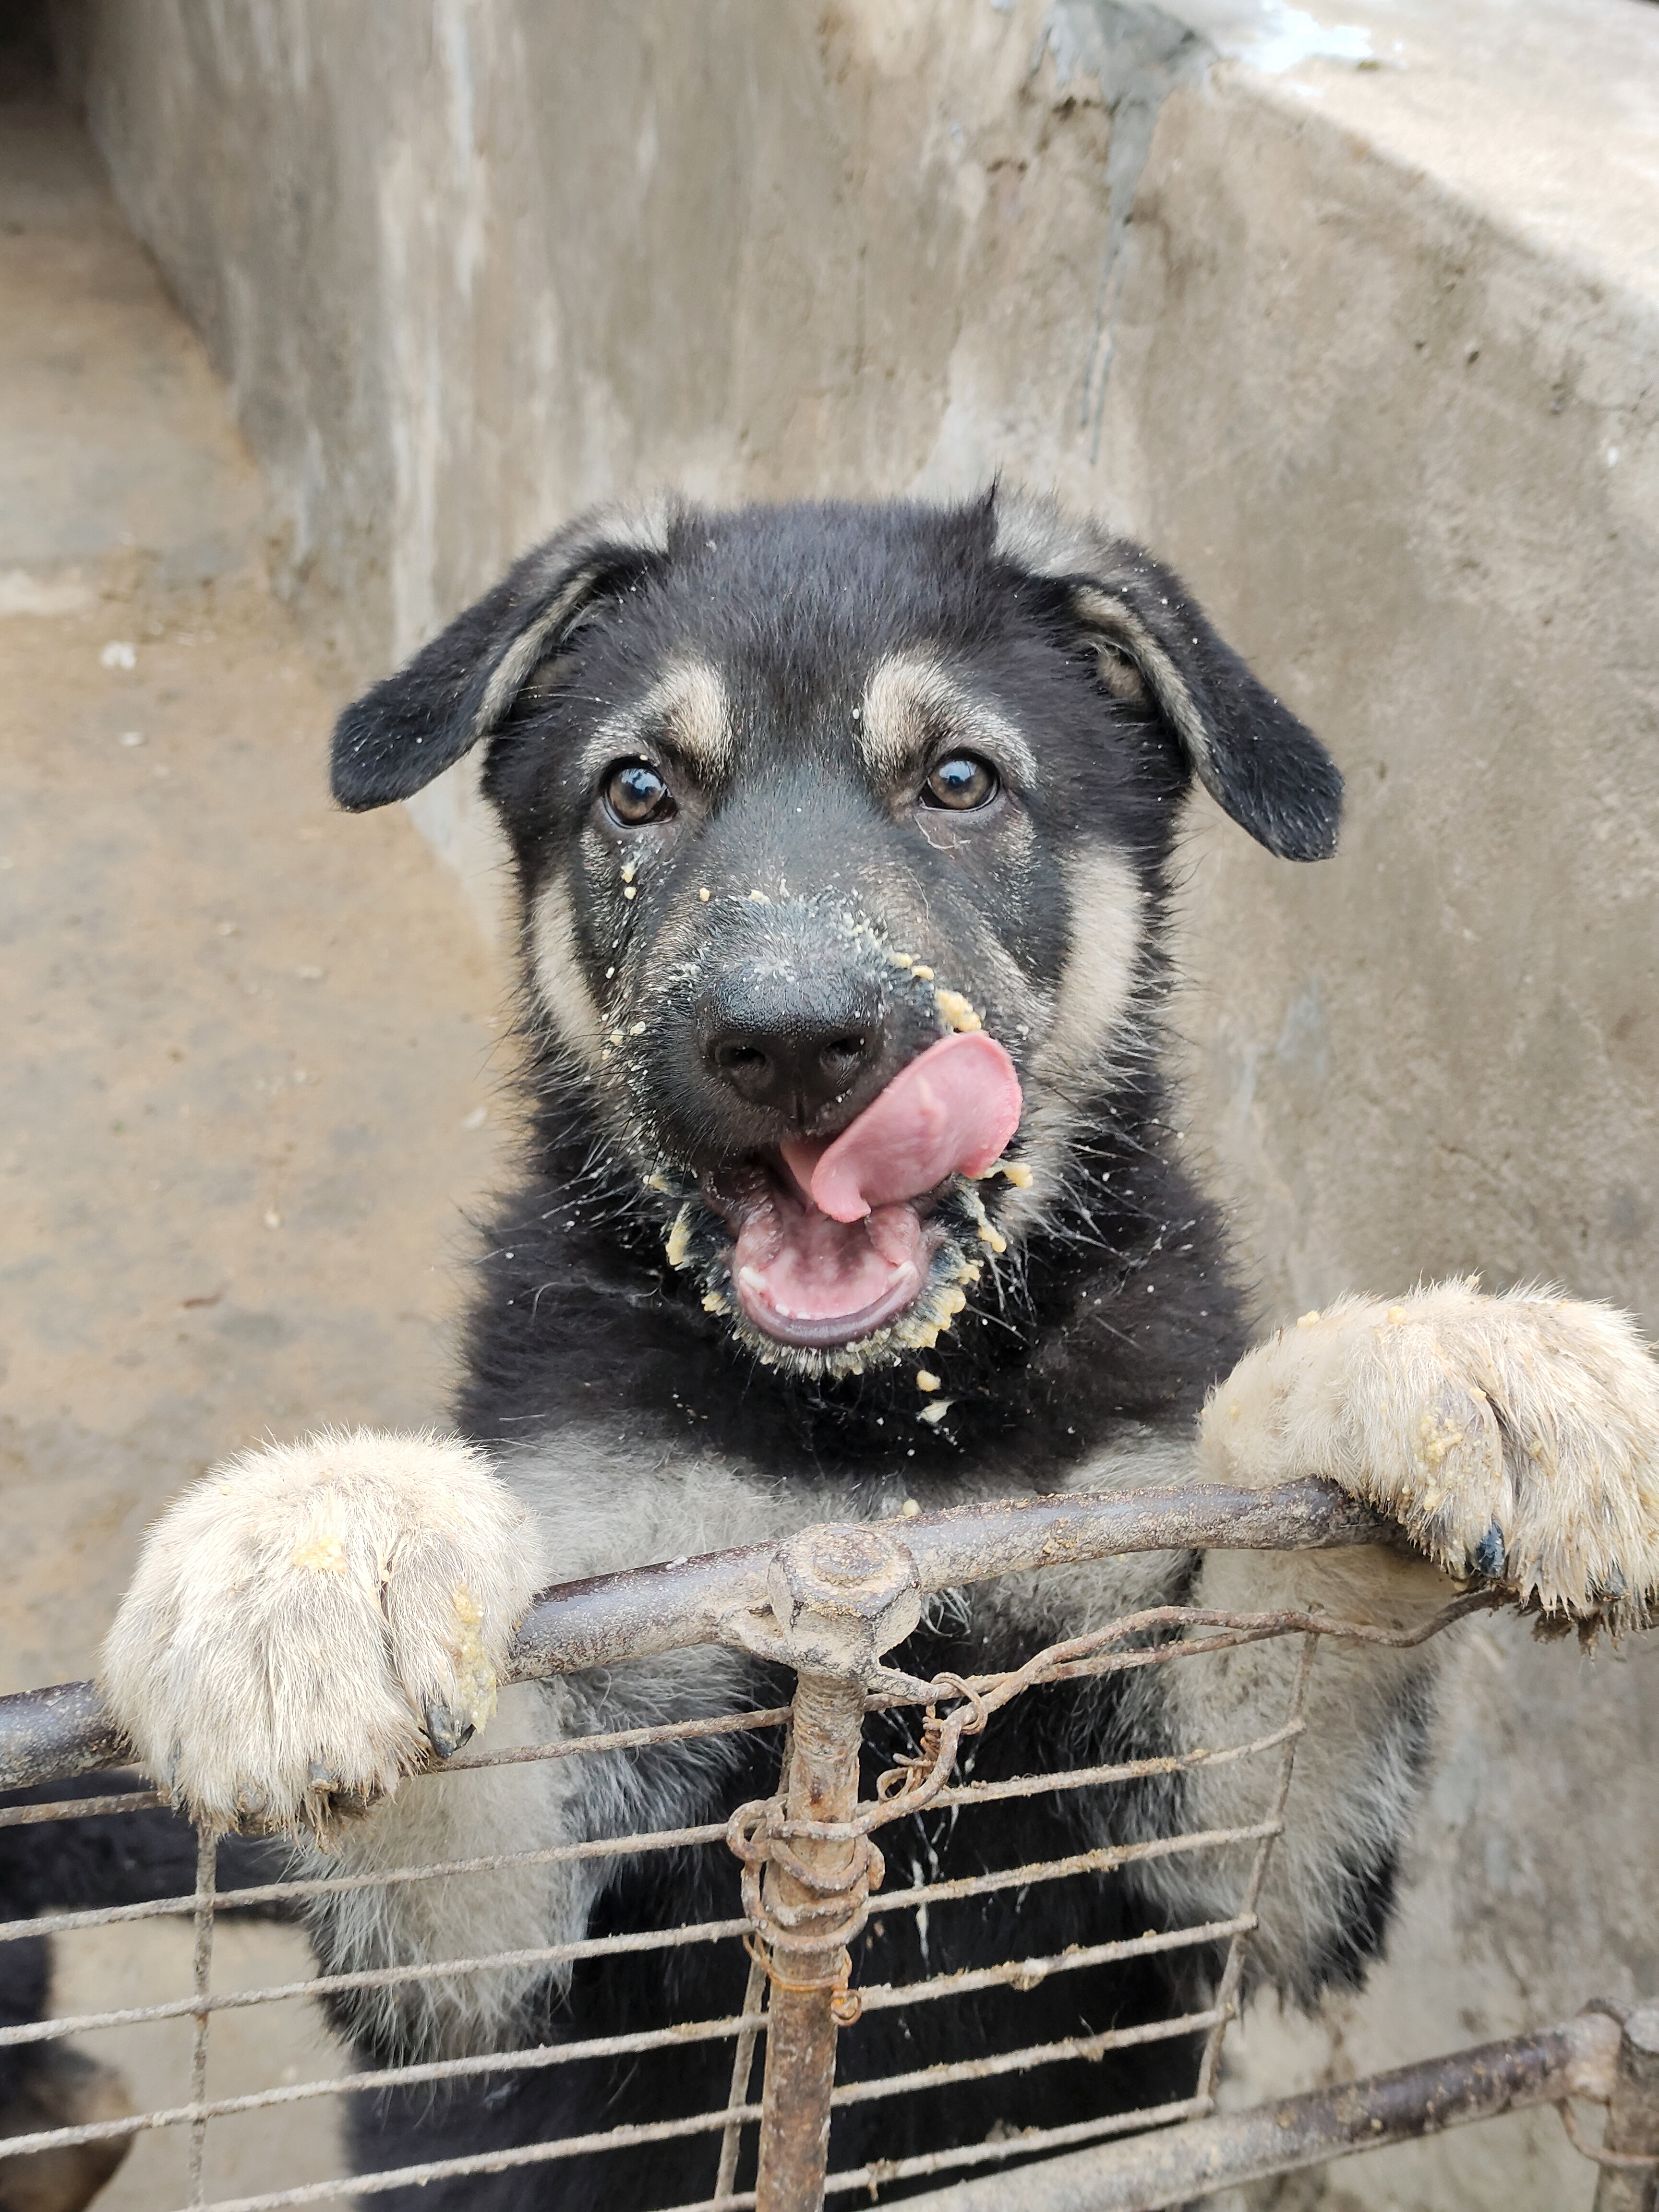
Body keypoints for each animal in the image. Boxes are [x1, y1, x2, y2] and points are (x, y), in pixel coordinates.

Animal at [19, 489, 1654, 2212]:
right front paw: (311, 1557)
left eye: (961, 781)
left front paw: (1463, 1358)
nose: (791, 1042)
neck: (868, 1437)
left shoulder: (1215, 1866)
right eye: (639, 789)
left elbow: (1299, 1596)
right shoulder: (505, 1976)